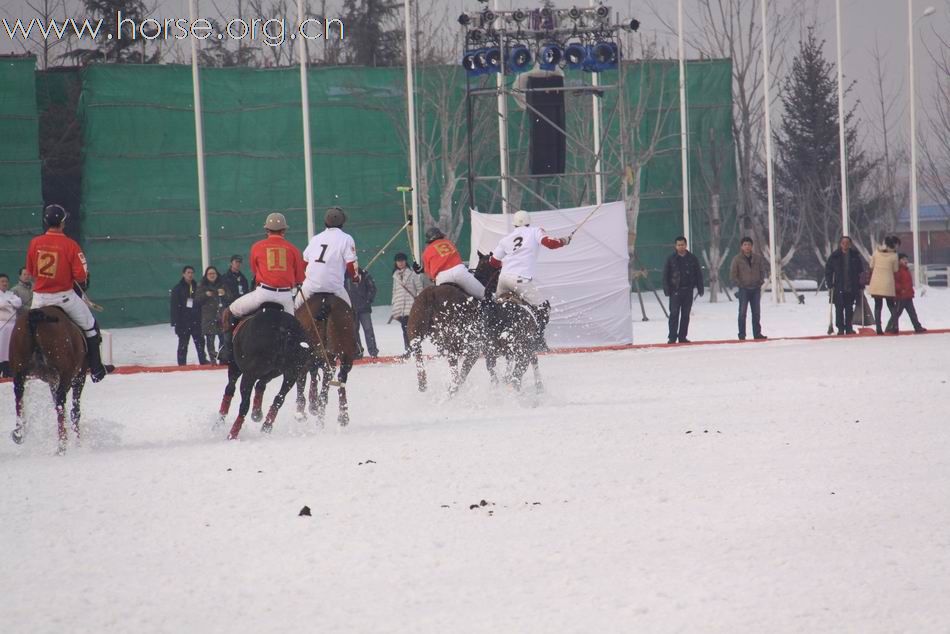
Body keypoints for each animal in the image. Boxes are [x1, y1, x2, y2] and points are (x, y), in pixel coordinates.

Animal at [8, 304, 88, 450]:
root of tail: (36, 315)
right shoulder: (79, 376)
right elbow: (75, 411)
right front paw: (78, 442)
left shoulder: (52, 380)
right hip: (66, 374)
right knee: (62, 402)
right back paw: (62, 444)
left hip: (19, 371)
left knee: (19, 395)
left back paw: (19, 432)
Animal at [296, 296, 358, 424]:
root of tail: (326, 304)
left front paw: (311, 406)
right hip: (345, 351)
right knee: (339, 378)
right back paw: (342, 415)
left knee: (306, 377)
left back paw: (307, 414)